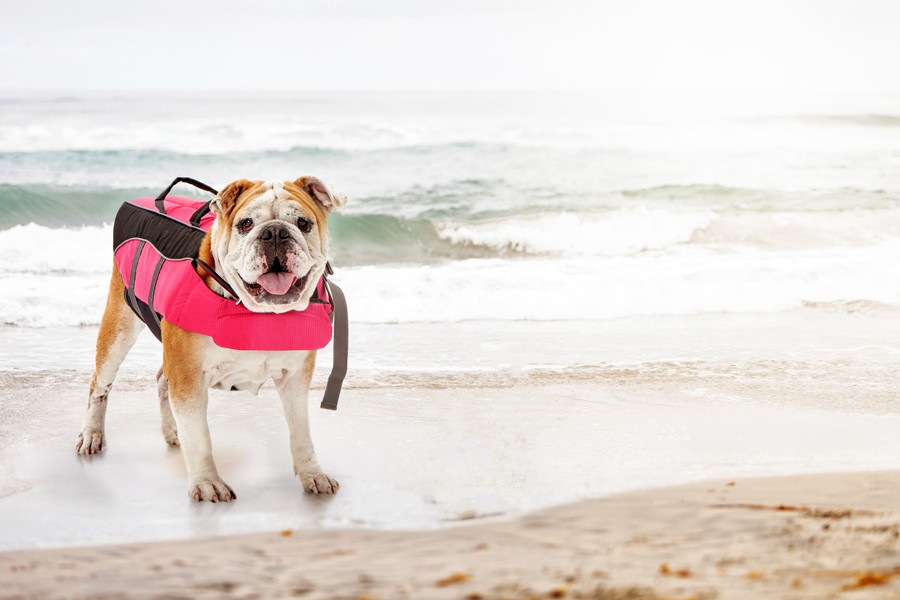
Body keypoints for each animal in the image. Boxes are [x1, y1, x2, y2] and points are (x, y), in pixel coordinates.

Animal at [74, 177, 344, 502]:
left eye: (303, 223)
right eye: (245, 224)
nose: (275, 232)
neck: (258, 312)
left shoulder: (295, 378)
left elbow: (301, 431)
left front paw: (312, 473)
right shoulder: (188, 376)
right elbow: (200, 437)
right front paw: (207, 482)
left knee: (161, 379)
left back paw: (172, 430)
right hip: (119, 326)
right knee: (100, 384)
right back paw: (92, 434)